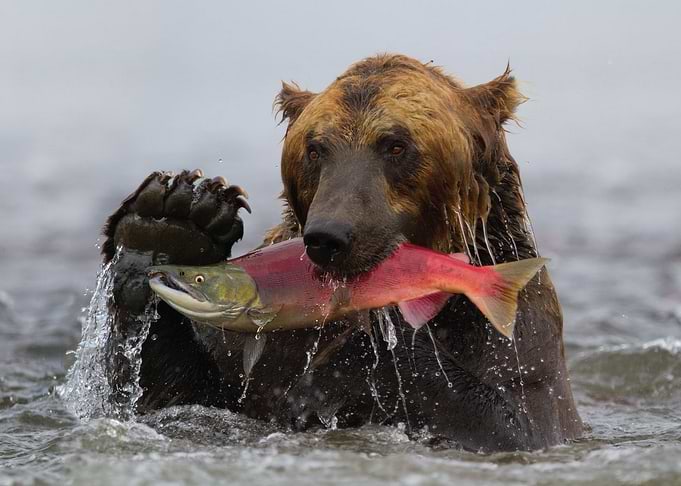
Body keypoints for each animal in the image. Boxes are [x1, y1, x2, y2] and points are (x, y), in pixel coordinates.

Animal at [101, 54, 583, 451]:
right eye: (315, 148)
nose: (329, 236)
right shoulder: (248, 355)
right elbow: (172, 398)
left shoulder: (515, 338)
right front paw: (171, 222)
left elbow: (513, 422)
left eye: (396, 145)